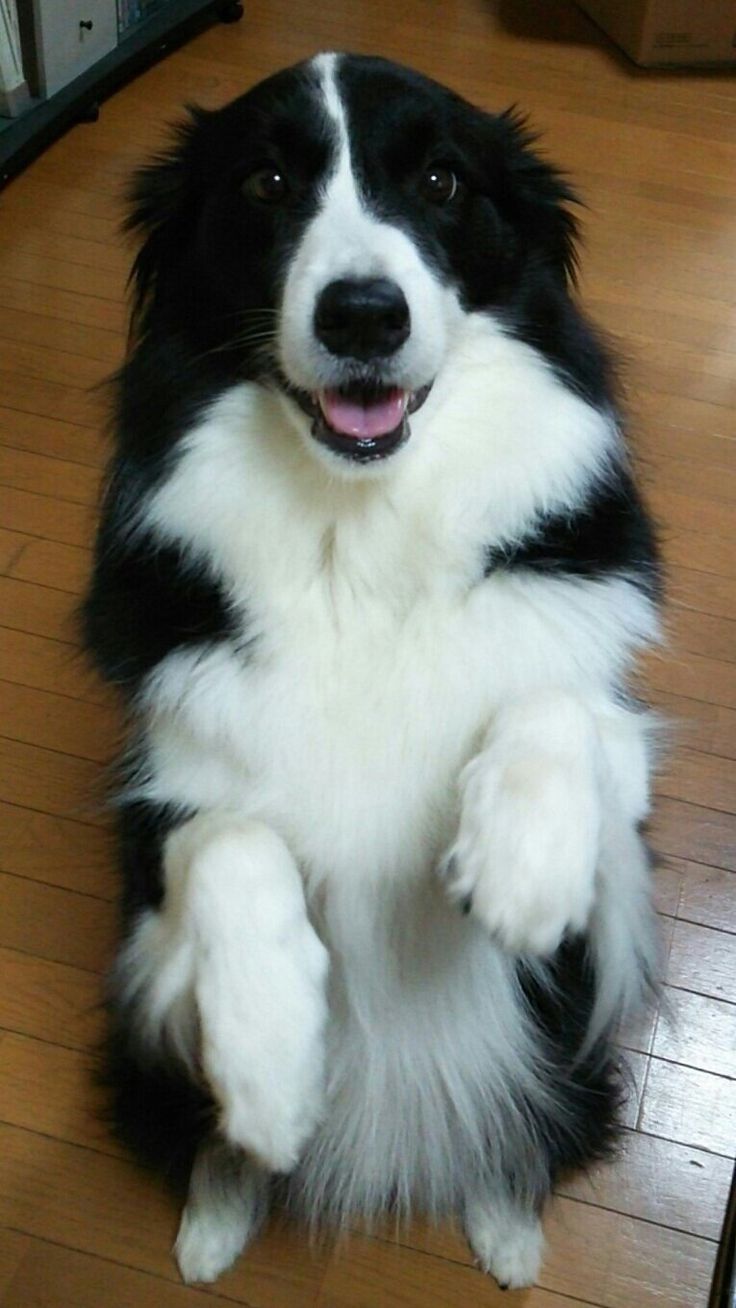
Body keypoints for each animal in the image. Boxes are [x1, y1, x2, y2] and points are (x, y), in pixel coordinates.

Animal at [82, 51, 661, 1287]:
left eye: (440, 180)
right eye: (264, 183)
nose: (361, 315)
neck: (364, 531)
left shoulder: (621, 856)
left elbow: (555, 702)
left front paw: (520, 869)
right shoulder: (154, 816)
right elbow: (231, 841)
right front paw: (266, 1060)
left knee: (526, 1132)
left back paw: (506, 1225)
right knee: (205, 1141)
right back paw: (217, 1213)